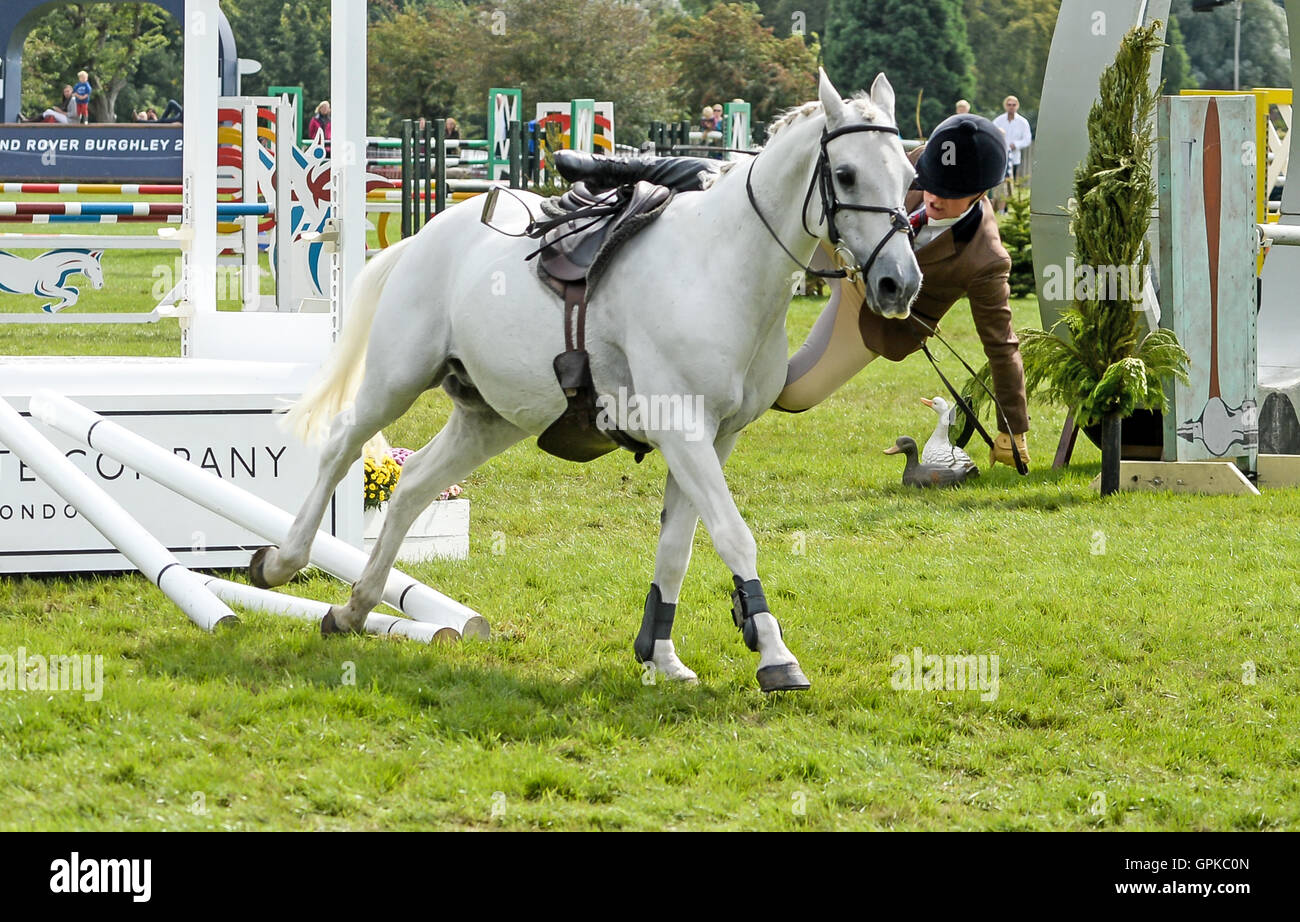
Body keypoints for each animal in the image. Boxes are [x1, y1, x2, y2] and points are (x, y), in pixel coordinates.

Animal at [256, 70, 925, 691]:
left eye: (908, 176)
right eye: (845, 175)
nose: (899, 283)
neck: (722, 269)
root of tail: (426, 235)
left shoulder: (714, 439)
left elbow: (677, 549)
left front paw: (660, 656)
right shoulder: (683, 431)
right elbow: (734, 537)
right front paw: (775, 656)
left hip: (491, 417)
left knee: (413, 483)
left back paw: (356, 608)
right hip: (396, 379)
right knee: (341, 447)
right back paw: (284, 562)